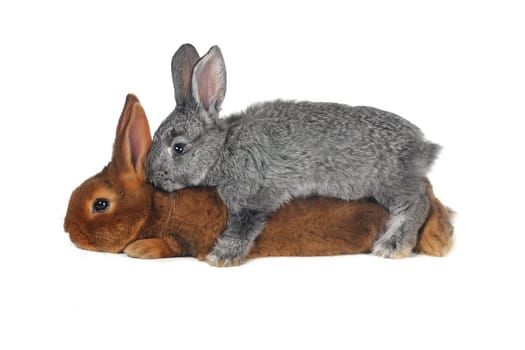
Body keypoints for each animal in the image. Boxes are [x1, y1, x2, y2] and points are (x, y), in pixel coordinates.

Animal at [145, 44, 440, 268]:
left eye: (178, 147)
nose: (152, 179)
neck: (222, 149)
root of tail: (422, 146)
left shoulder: (250, 194)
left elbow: (242, 224)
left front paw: (221, 256)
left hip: (385, 181)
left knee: (417, 201)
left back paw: (392, 245)